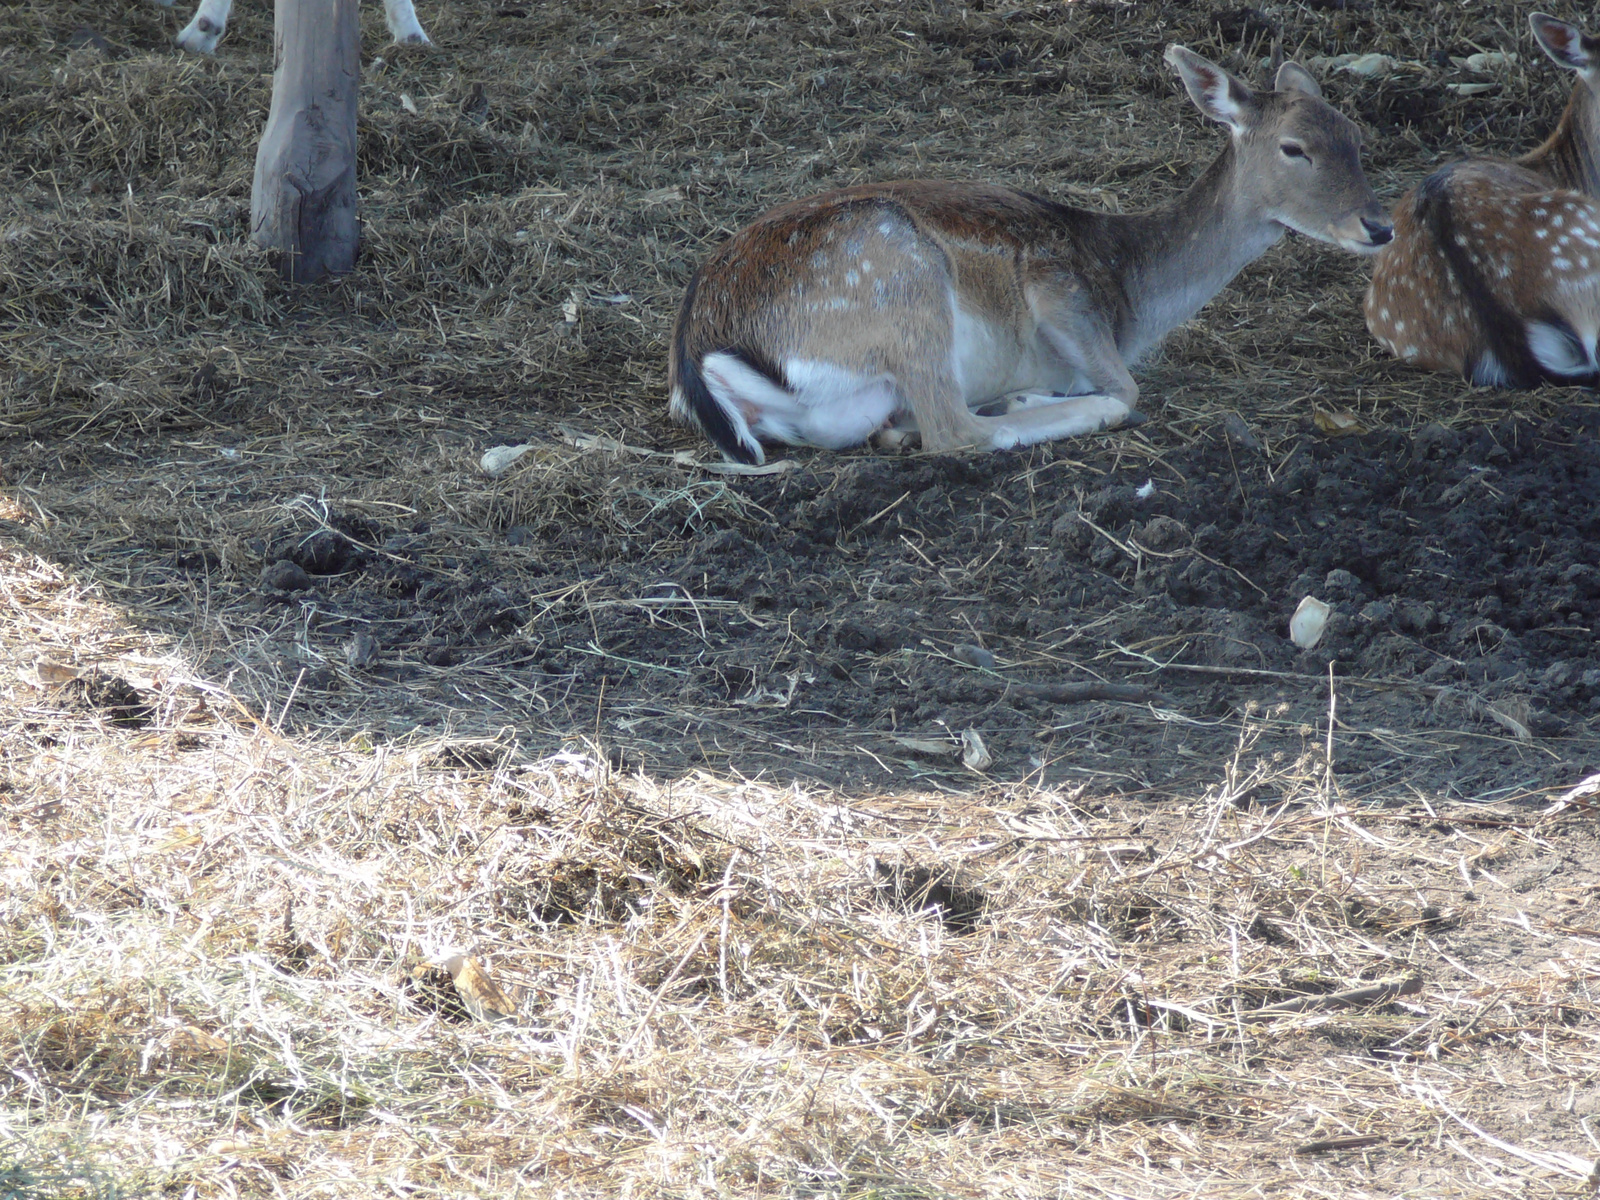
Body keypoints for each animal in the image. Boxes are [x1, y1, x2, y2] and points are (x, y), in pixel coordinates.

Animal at [668, 44, 1395, 464]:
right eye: (1294, 148)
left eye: (1356, 135)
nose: (1379, 225)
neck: (1130, 294)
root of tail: (697, 355)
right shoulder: (1058, 287)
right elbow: (1126, 386)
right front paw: (1037, 396)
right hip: (899, 277)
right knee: (957, 429)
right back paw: (1011, 407)